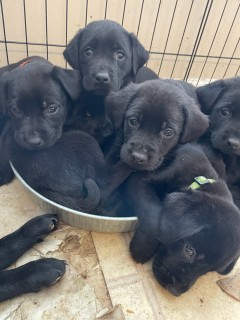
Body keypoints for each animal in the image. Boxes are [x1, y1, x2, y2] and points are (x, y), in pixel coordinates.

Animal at [124, 144, 240, 296]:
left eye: (210, 271)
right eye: (189, 251)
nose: (175, 292)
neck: (197, 181)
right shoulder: (140, 180)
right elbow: (153, 214)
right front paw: (142, 248)